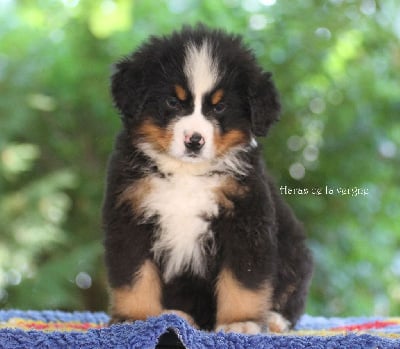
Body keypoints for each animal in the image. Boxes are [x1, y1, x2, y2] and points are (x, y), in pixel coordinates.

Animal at [102, 25, 312, 334]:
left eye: (220, 107)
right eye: (172, 101)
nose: (194, 140)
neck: (187, 175)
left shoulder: (245, 219)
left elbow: (242, 280)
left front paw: (240, 322)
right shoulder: (129, 216)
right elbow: (135, 275)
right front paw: (135, 318)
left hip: (293, 251)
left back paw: (274, 320)